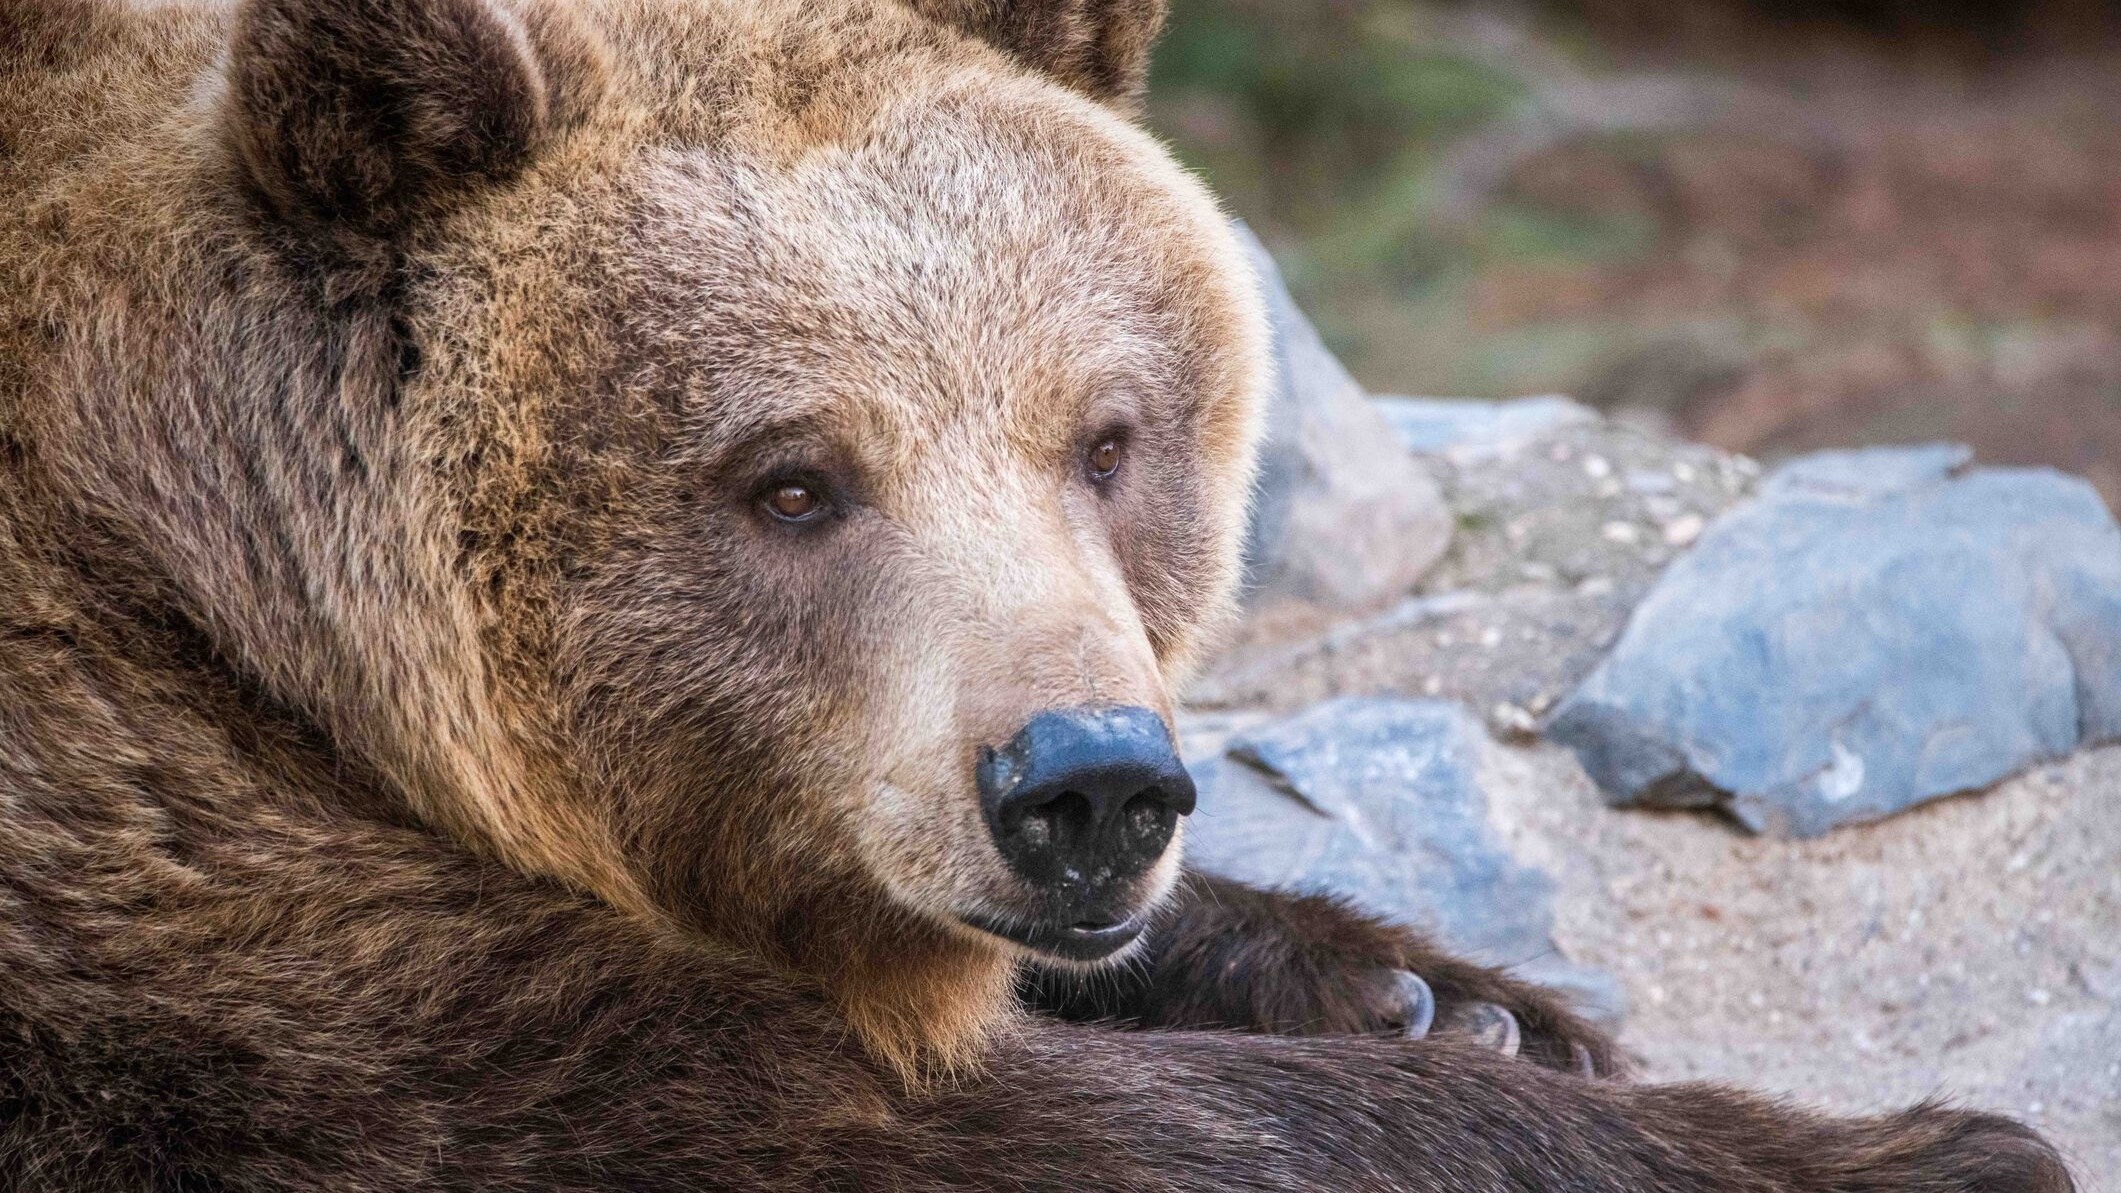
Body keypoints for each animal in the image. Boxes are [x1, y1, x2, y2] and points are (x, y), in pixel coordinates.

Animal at [0, 0, 2073, 1188]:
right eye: (792, 478)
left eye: (1104, 433)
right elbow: (937, 1120)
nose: (1087, 786)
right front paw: (1916, 1144)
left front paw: (1443, 995)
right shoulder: (226, 929)